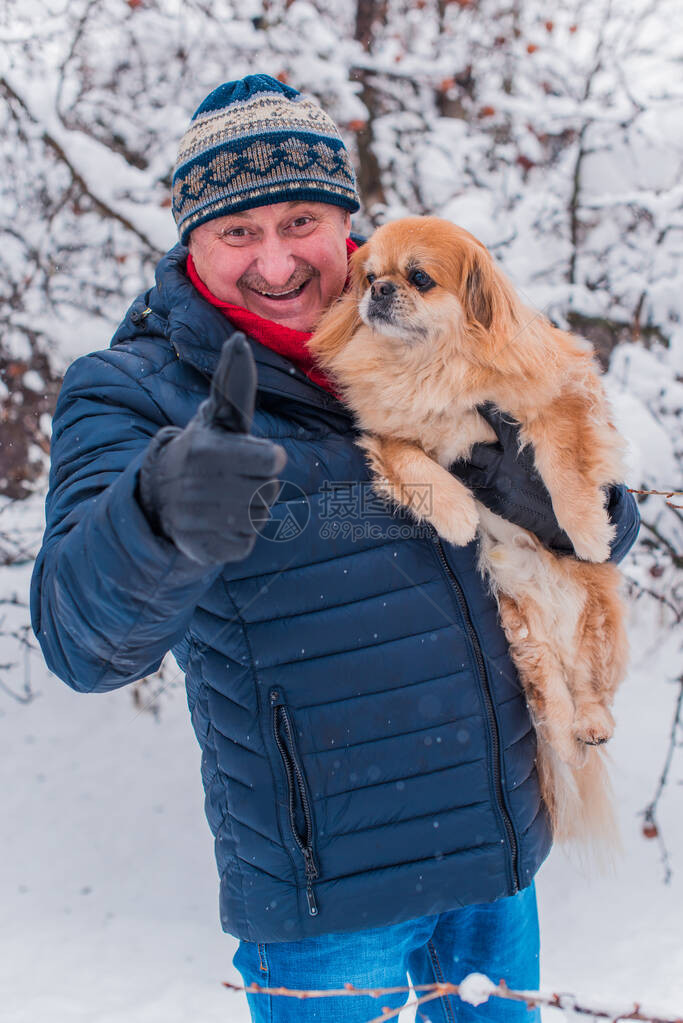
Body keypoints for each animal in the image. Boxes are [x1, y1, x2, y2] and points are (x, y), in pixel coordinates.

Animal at [308, 215, 629, 847]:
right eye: (369, 277)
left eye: (419, 279)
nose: (378, 292)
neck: (429, 364)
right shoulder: (389, 435)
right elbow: (416, 463)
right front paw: (458, 514)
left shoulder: (558, 397)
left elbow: (563, 467)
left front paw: (588, 532)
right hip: (522, 628)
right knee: (555, 703)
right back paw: (567, 737)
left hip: (599, 619)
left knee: (592, 689)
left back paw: (593, 724)